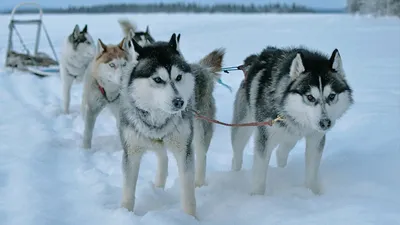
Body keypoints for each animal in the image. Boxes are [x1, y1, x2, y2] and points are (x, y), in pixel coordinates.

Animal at [119, 33, 225, 216]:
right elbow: (127, 190)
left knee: (201, 156)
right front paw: (125, 213)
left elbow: (188, 193)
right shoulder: (131, 151)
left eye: (178, 77)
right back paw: (158, 187)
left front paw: (190, 217)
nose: (179, 102)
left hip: (199, 131)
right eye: (157, 79)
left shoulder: (184, 150)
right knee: (163, 157)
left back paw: (199, 184)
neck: (158, 117)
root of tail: (200, 67)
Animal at [230, 46, 354, 195]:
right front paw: (257, 196)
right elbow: (259, 174)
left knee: (281, 152)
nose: (325, 123)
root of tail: (254, 59)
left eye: (331, 96)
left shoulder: (315, 138)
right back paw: (235, 174)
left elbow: (312, 171)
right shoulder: (264, 138)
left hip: (291, 136)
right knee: (237, 154)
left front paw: (312, 192)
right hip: (242, 128)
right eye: (310, 97)